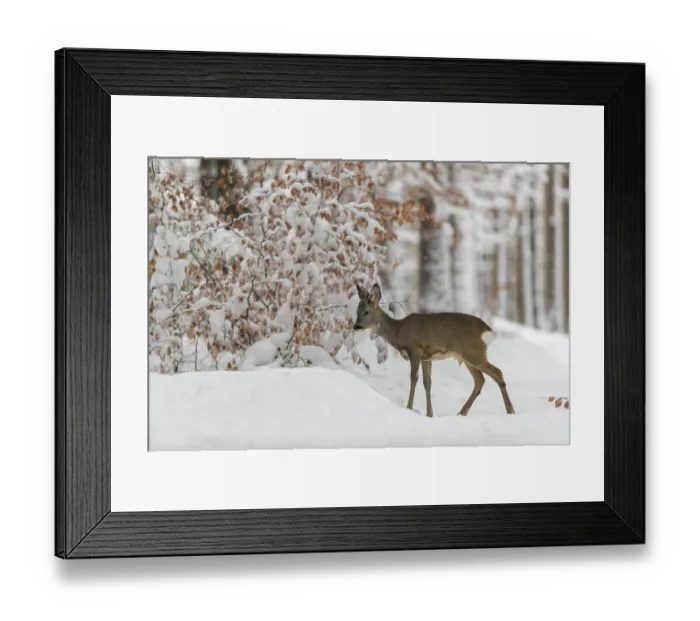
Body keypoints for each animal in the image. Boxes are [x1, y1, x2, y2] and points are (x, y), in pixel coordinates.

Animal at [352, 283, 515, 418]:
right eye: (356, 310)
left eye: (366, 312)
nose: (355, 326)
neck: (398, 331)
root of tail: (488, 331)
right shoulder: (427, 357)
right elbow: (427, 383)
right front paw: (429, 414)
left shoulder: (414, 350)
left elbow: (413, 378)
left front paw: (409, 407)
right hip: (469, 357)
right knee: (480, 380)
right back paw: (462, 412)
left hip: (474, 353)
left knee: (497, 373)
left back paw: (510, 411)